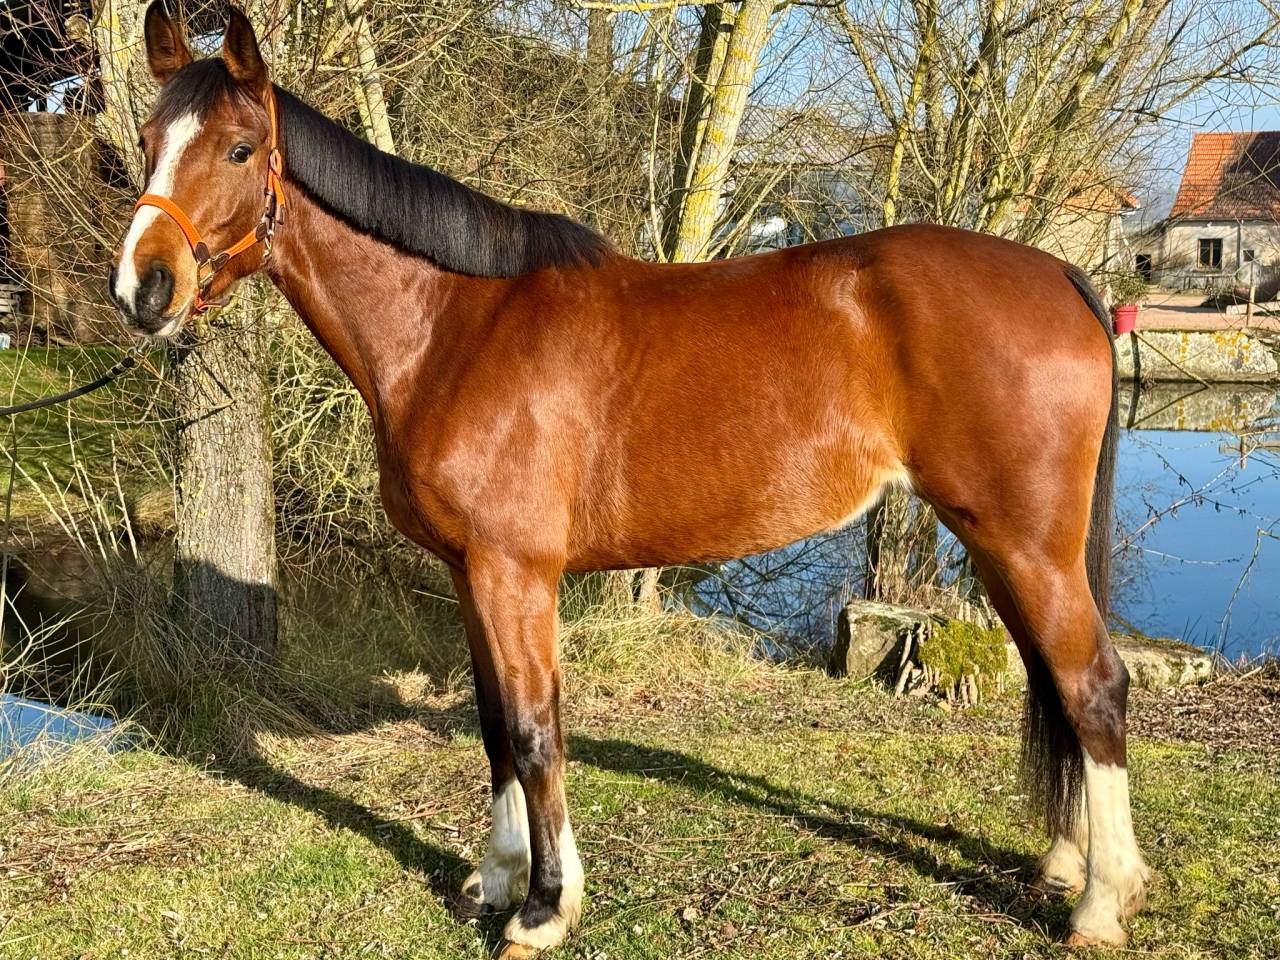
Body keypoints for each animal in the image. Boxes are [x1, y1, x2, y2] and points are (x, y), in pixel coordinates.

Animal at [111, 4, 1149, 954]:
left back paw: (1103, 903)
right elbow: (494, 725)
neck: (453, 329)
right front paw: (497, 878)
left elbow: (535, 730)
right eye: (146, 144)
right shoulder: (467, 571)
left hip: (1025, 542)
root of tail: (1061, 275)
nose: (143, 290)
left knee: (1093, 684)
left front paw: (542, 909)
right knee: (1052, 680)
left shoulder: (515, 573)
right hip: (998, 543)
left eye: (240, 148)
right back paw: (1065, 863)